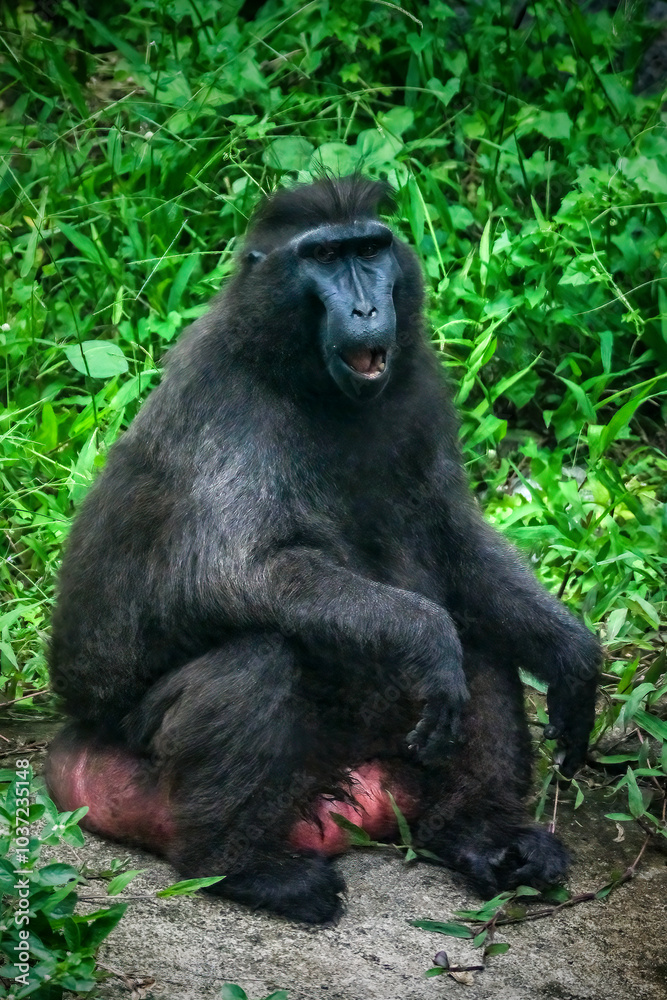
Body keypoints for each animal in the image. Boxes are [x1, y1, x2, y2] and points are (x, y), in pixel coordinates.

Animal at [45, 175, 600, 924]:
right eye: (324, 257)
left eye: (368, 249)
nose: (366, 307)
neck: (303, 376)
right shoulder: (231, 404)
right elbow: (236, 571)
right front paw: (427, 638)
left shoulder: (420, 389)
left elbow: (454, 542)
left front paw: (572, 658)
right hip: (144, 743)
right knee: (261, 659)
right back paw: (241, 868)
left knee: (482, 638)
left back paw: (480, 833)